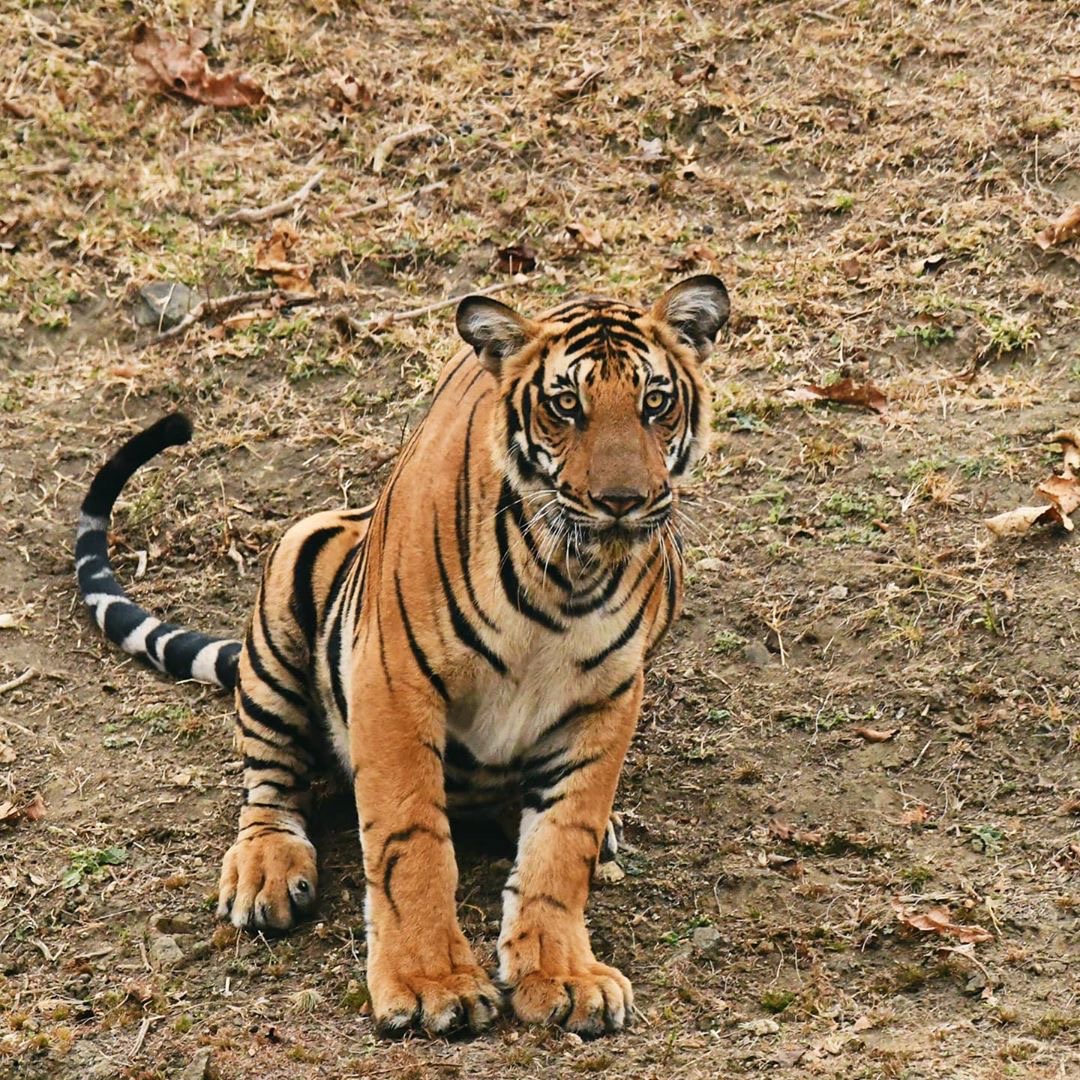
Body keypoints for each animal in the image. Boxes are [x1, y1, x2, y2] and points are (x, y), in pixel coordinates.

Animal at [75, 274, 729, 1038]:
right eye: (567, 405)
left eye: (656, 402)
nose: (622, 502)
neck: (565, 575)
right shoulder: (392, 679)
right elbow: (410, 841)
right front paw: (429, 986)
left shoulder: (607, 696)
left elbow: (563, 841)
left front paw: (563, 976)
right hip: (296, 568)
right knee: (268, 781)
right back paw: (266, 870)